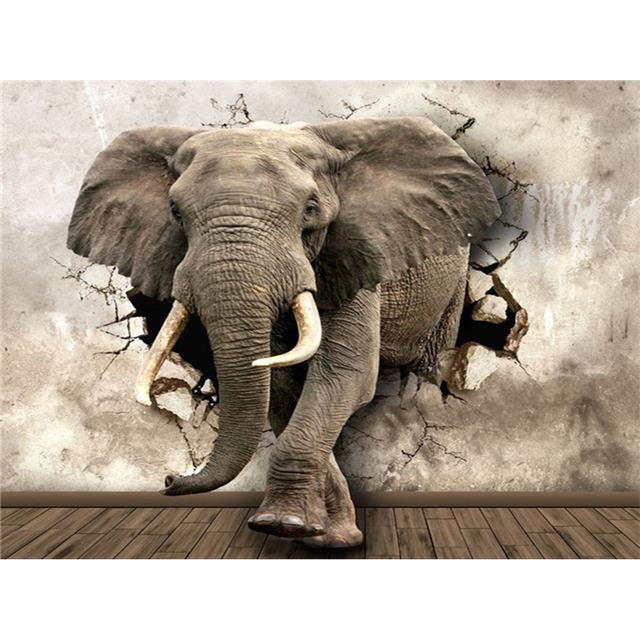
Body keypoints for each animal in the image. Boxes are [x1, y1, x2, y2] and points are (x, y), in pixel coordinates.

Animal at [67, 117, 501, 547]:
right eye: (175, 212)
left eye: (310, 209)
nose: (171, 478)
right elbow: (282, 388)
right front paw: (324, 536)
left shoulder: (351, 257)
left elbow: (345, 375)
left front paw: (283, 524)